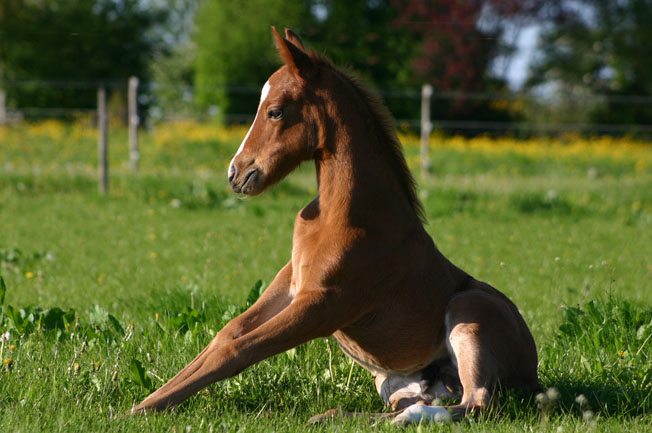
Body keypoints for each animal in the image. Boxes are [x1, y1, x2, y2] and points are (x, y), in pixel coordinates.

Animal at [134, 27, 540, 426]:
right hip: (393, 384)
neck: (341, 216)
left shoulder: (323, 305)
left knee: (478, 404)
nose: (236, 174)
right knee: (418, 402)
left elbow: (237, 350)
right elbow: (226, 334)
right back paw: (335, 416)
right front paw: (149, 401)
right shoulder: (290, 287)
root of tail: (534, 374)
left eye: (275, 111)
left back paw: (407, 418)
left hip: (469, 314)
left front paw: (141, 410)